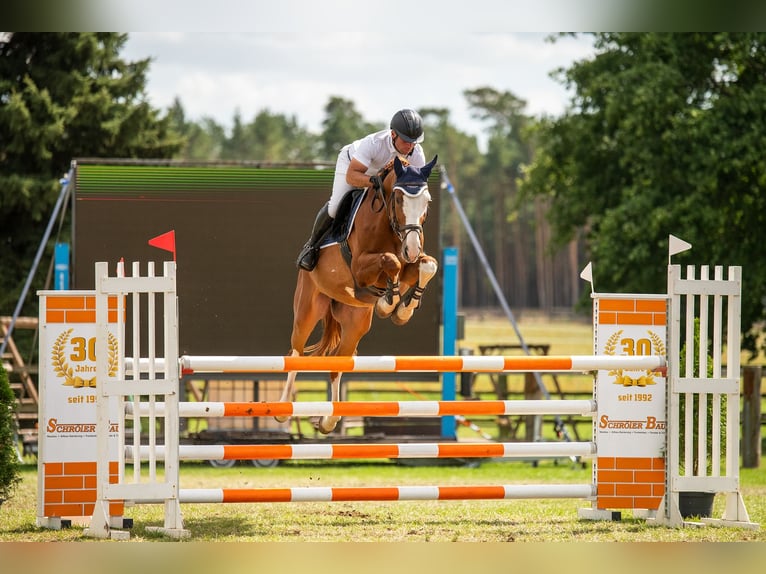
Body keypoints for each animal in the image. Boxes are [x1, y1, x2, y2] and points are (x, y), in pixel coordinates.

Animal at [277, 155, 439, 433]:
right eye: (399, 199)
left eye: (426, 201)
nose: (411, 248)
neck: (389, 224)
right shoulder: (361, 268)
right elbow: (390, 261)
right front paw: (389, 303)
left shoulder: (413, 261)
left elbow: (427, 265)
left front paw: (402, 308)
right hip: (308, 309)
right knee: (295, 353)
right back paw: (282, 410)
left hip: (355, 322)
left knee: (337, 364)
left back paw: (328, 420)